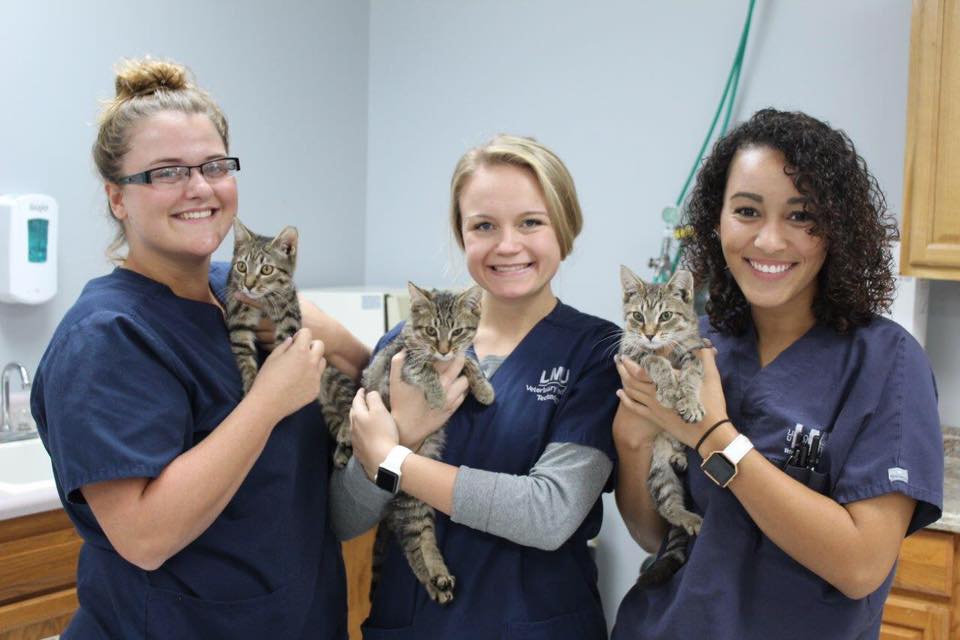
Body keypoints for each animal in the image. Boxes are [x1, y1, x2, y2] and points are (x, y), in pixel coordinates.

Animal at [360, 284, 496, 604]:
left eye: (457, 331)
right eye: (431, 331)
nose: (444, 350)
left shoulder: (458, 355)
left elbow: (468, 361)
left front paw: (484, 388)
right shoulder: (402, 362)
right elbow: (425, 367)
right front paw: (438, 396)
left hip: (418, 498)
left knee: (424, 537)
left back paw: (439, 575)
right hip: (407, 502)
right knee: (412, 542)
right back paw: (432, 578)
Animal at [620, 264, 708, 584]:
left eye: (666, 315)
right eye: (637, 316)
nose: (648, 334)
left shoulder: (698, 352)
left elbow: (693, 372)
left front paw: (690, 402)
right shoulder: (627, 352)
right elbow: (653, 360)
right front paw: (669, 388)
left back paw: (680, 455)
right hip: (658, 474)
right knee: (668, 505)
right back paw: (688, 517)